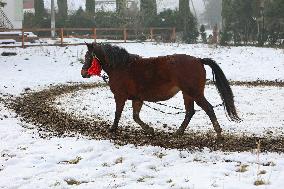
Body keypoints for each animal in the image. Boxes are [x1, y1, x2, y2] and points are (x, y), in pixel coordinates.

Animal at [81, 43, 241, 140]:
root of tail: (199, 60)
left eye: (88, 56)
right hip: (187, 94)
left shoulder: (120, 96)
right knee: (190, 112)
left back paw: (218, 132)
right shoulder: (137, 98)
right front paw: (149, 129)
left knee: (208, 108)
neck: (121, 67)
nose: (83, 73)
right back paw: (179, 132)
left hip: (194, 93)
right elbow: (135, 117)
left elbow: (118, 114)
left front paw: (112, 129)